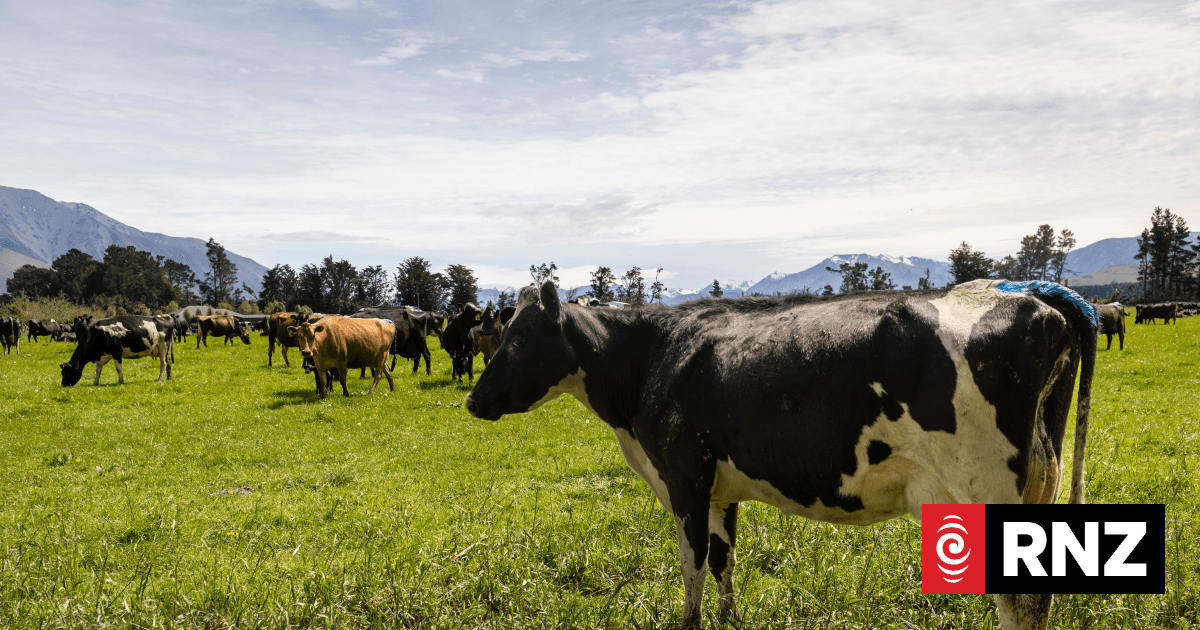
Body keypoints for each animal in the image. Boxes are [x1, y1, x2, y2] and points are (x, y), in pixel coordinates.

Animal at [464, 280, 1098, 630]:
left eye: (518, 338)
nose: (472, 399)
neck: (652, 356)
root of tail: (1035, 297)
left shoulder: (685, 478)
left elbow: (693, 564)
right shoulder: (721, 488)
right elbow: (724, 559)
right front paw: (730, 620)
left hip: (984, 492)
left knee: (1019, 598)